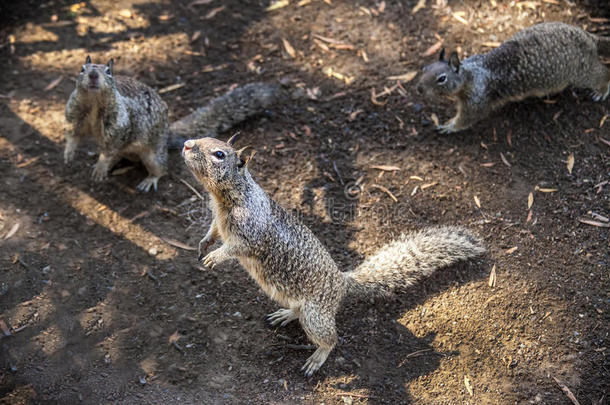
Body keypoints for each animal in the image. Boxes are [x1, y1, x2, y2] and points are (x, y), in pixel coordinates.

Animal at [64, 55, 278, 193]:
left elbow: (109, 150)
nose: (93, 75)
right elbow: (73, 135)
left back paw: (149, 180)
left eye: (109, 72)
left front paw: (100, 168)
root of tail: (167, 133)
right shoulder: (75, 116)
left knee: (160, 168)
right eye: (82, 69)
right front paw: (69, 153)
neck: (94, 103)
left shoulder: (119, 128)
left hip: (153, 155)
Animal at [180, 135, 484, 376]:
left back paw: (317, 358)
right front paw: (203, 245)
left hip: (316, 317)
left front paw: (215, 257)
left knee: (332, 339)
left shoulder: (250, 232)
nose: (186, 144)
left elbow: (237, 248)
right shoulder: (217, 222)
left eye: (219, 154)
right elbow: (212, 232)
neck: (227, 197)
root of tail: (341, 282)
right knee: (297, 310)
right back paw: (284, 315)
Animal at [416, 21, 608, 133]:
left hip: (583, 72)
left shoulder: (476, 100)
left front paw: (449, 126)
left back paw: (601, 90)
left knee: (603, 73)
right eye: (425, 68)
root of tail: (589, 36)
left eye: (441, 78)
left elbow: (468, 118)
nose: (419, 89)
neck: (471, 74)